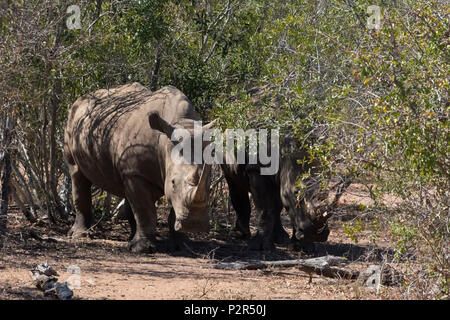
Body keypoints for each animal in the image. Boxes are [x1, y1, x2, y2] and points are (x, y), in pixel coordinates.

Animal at [63, 82, 216, 252]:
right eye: (173, 182)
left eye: (208, 184)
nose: (195, 225)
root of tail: (80, 99)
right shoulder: (136, 173)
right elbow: (145, 210)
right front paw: (142, 249)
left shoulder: (140, 170)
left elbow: (170, 208)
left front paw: (182, 245)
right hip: (71, 123)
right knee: (77, 174)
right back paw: (78, 235)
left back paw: (131, 238)